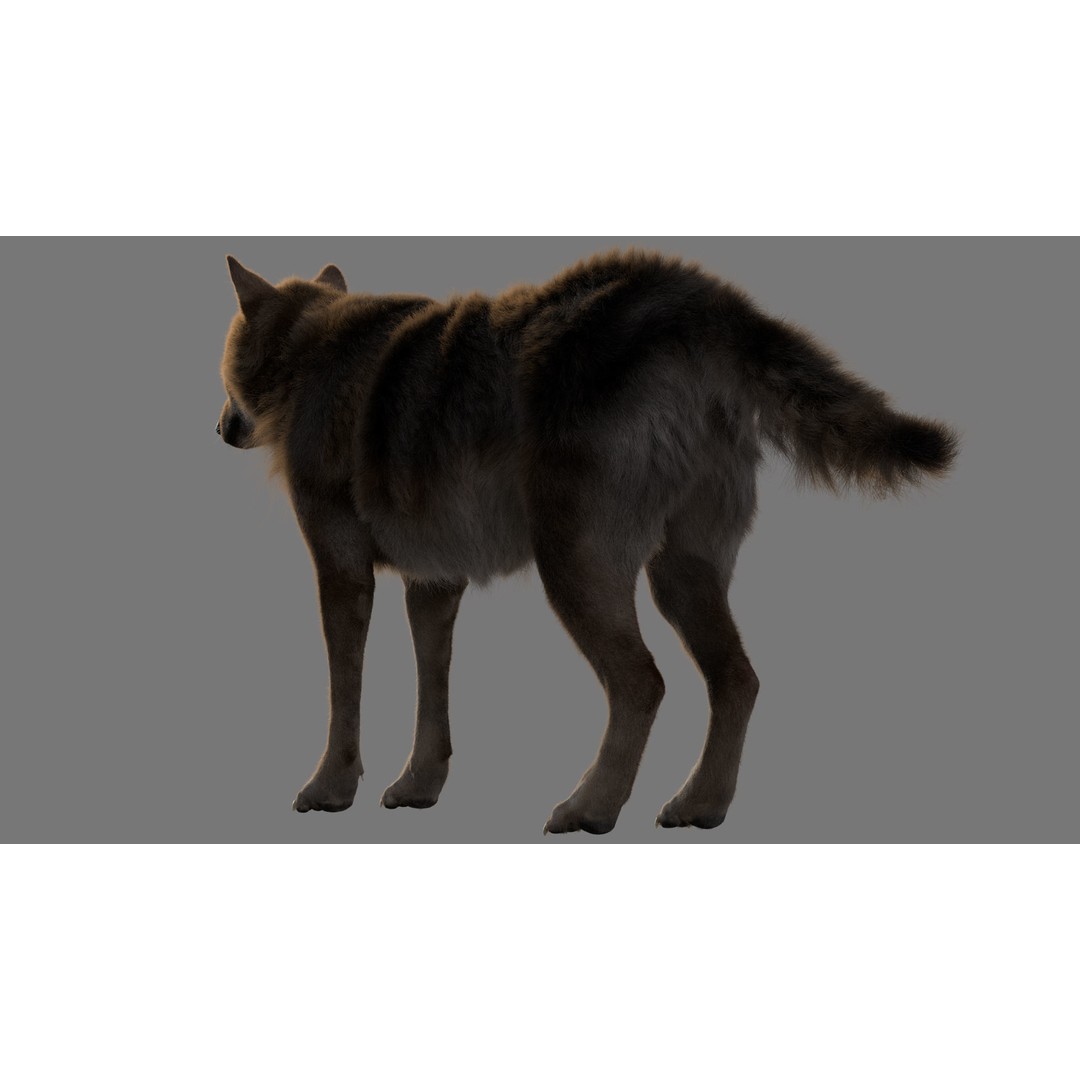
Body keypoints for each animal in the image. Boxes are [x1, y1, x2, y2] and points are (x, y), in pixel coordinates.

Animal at [216, 249, 958, 835]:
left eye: (222, 373)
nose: (220, 427)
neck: (310, 351)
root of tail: (696, 297)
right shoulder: (435, 585)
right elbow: (434, 697)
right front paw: (418, 787)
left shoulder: (343, 573)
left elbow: (344, 694)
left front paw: (329, 790)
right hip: (677, 578)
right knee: (738, 680)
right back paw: (699, 804)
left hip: (574, 569)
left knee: (644, 684)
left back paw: (590, 808)